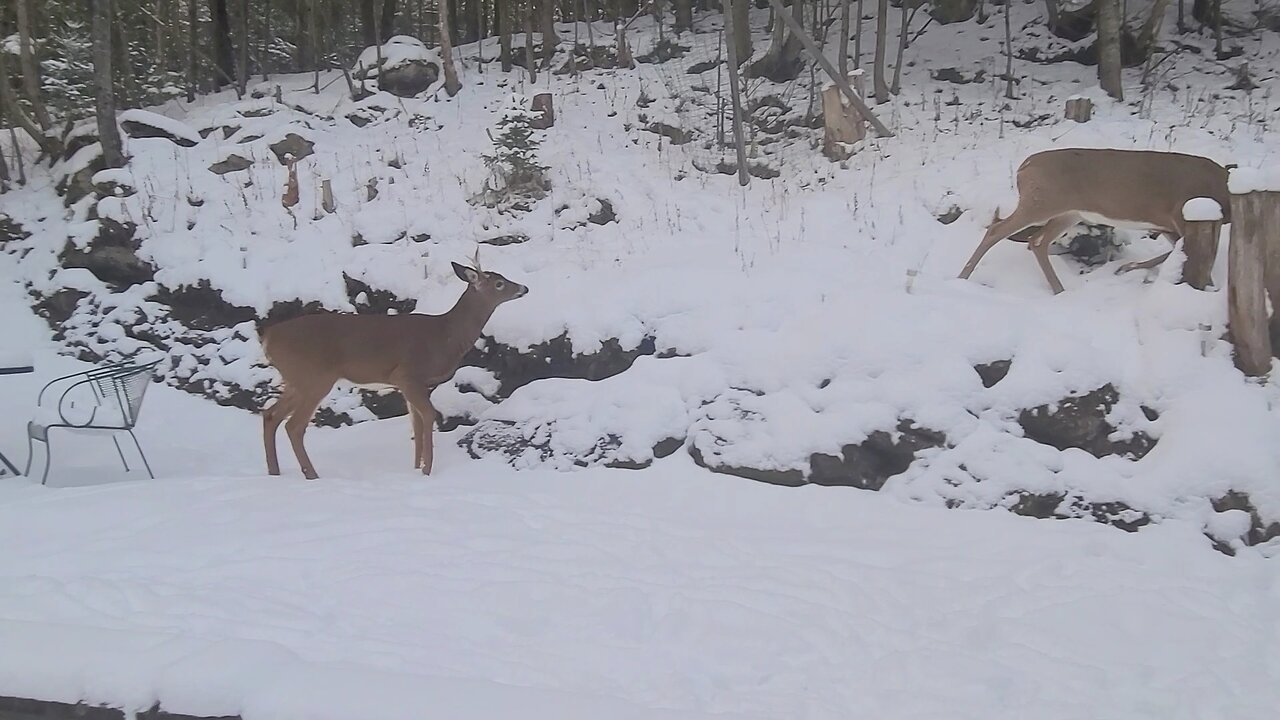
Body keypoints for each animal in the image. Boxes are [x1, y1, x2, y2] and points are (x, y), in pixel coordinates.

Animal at [257, 260, 527, 479]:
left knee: (270, 415)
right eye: (499, 284)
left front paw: (417, 468)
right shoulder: (408, 374)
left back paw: (274, 471)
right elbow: (428, 416)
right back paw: (311, 475)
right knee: (294, 426)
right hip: (315, 377)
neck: (446, 336)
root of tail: (268, 338)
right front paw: (427, 470)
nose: (524, 288)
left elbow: (416, 423)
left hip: (296, 379)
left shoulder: (414, 385)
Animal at [962, 147, 1228, 293]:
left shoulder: (1168, 224)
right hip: (1042, 202)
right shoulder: (1177, 216)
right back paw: (962, 277)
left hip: (1069, 212)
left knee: (1037, 241)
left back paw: (1059, 290)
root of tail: (1023, 167)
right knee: (997, 230)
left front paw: (1127, 267)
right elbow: (1195, 255)